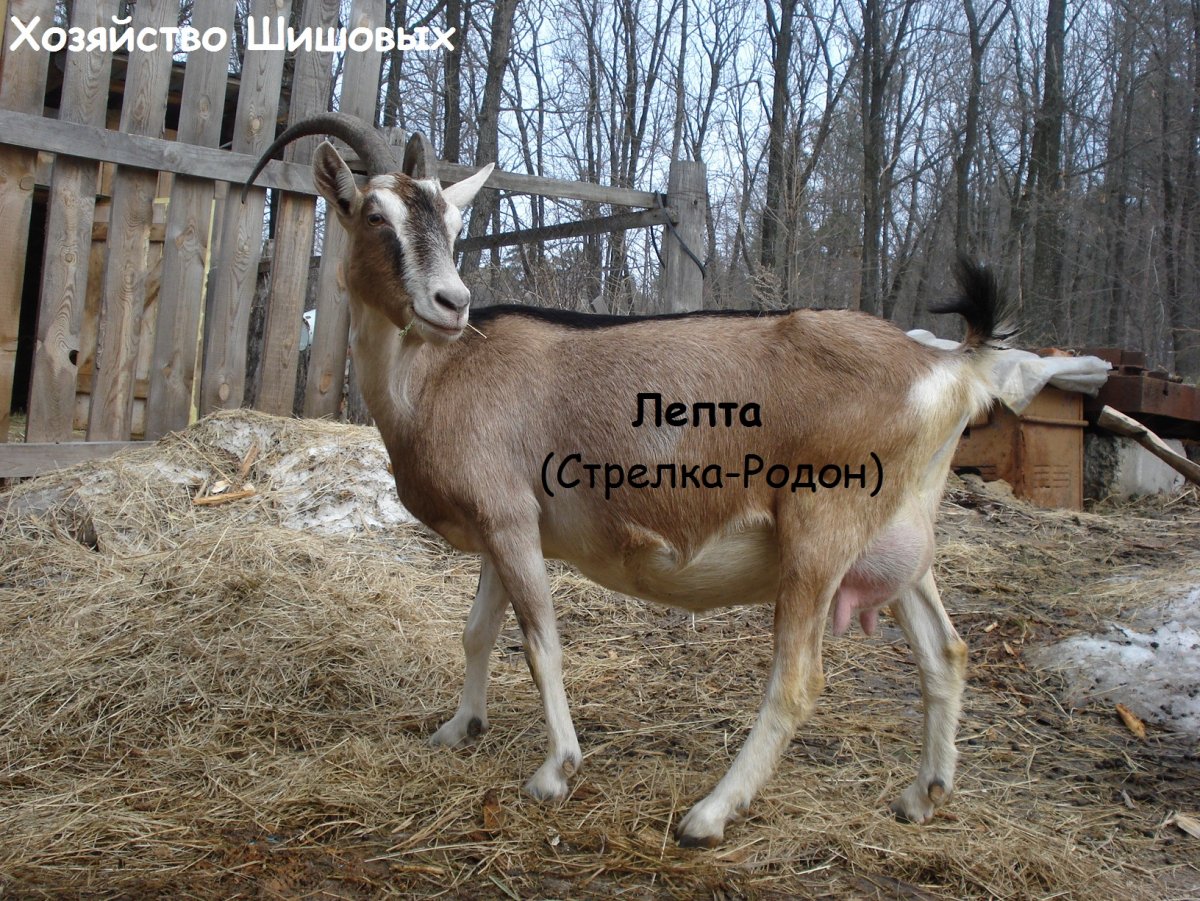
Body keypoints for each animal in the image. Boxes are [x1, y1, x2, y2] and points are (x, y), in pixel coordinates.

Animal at [244, 113, 1009, 847]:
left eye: (452, 220)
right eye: (376, 215)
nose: (450, 302)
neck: (438, 377)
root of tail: (949, 367)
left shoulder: (509, 519)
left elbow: (541, 644)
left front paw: (555, 772)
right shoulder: (504, 530)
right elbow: (477, 631)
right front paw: (458, 729)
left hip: (819, 532)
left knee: (797, 681)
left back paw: (708, 816)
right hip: (895, 542)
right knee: (946, 653)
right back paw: (921, 796)